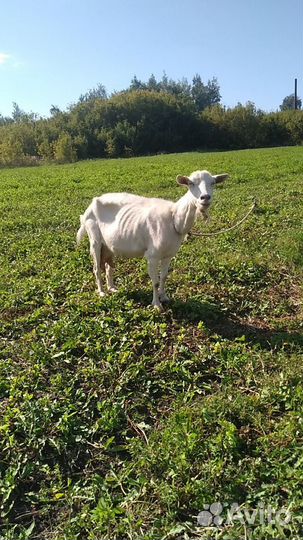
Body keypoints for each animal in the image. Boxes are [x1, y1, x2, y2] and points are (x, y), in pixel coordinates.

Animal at [77, 171, 229, 310]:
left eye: (213, 183)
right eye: (191, 183)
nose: (205, 198)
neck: (174, 218)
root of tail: (91, 204)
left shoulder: (168, 255)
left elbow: (164, 277)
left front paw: (164, 297)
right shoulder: (152, 255)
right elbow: (155, 281)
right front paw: (156, 305)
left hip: (109, 245)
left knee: (109, 267)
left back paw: (112, 288)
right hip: (94, 238)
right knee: (96, 268)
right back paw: (102, 292)